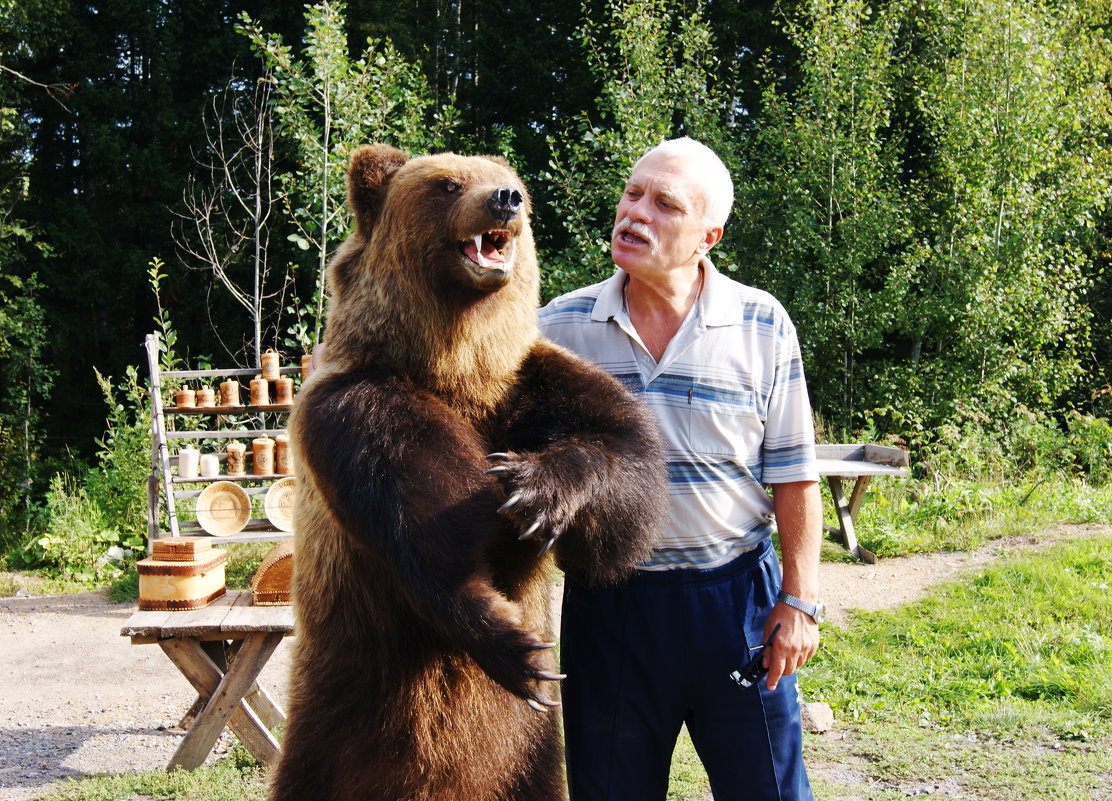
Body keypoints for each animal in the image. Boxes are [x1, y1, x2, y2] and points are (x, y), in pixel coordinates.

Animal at [269, 145, 667, 800]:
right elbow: (433, 534)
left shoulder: (529, 386)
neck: (455, 369)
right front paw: (521, 651)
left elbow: (625, 467)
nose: (506, 198)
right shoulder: (354, 415)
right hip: (338, 707)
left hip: (528, 758)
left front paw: (533, 489)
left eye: (509, 182)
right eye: (448, 184)